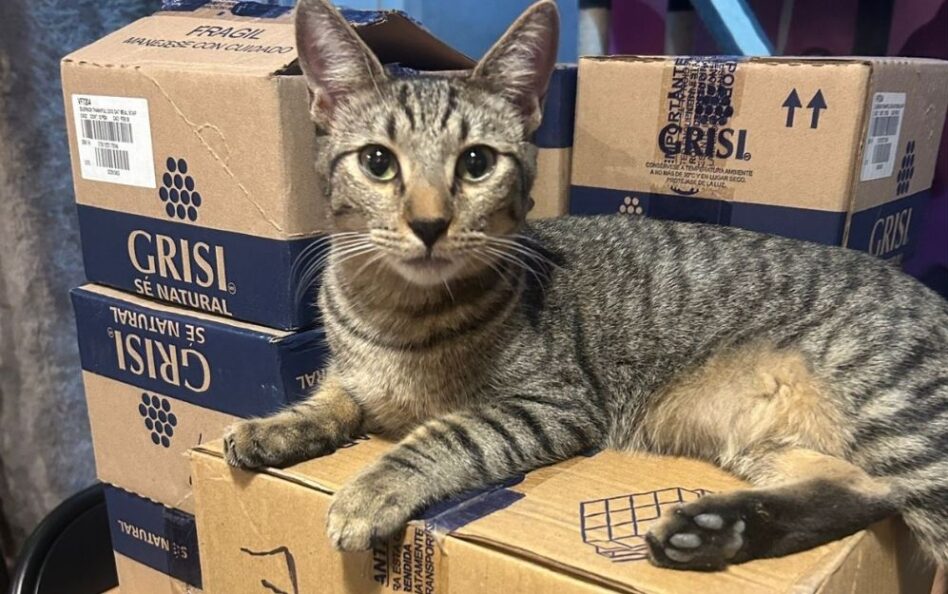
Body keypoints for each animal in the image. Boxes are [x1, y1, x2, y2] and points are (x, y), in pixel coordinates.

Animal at [224, 0, 948, 573]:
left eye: (476, 163)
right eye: (378, 162)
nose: (429, 224)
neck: (391, 311)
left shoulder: (550, 403)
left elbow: (443, 437)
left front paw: (369, 489)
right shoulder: (356, 376)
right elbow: (330, 399)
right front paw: (274, 428)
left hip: (902, 419)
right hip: (778, 444)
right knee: (861, 491)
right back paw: (712, 532)